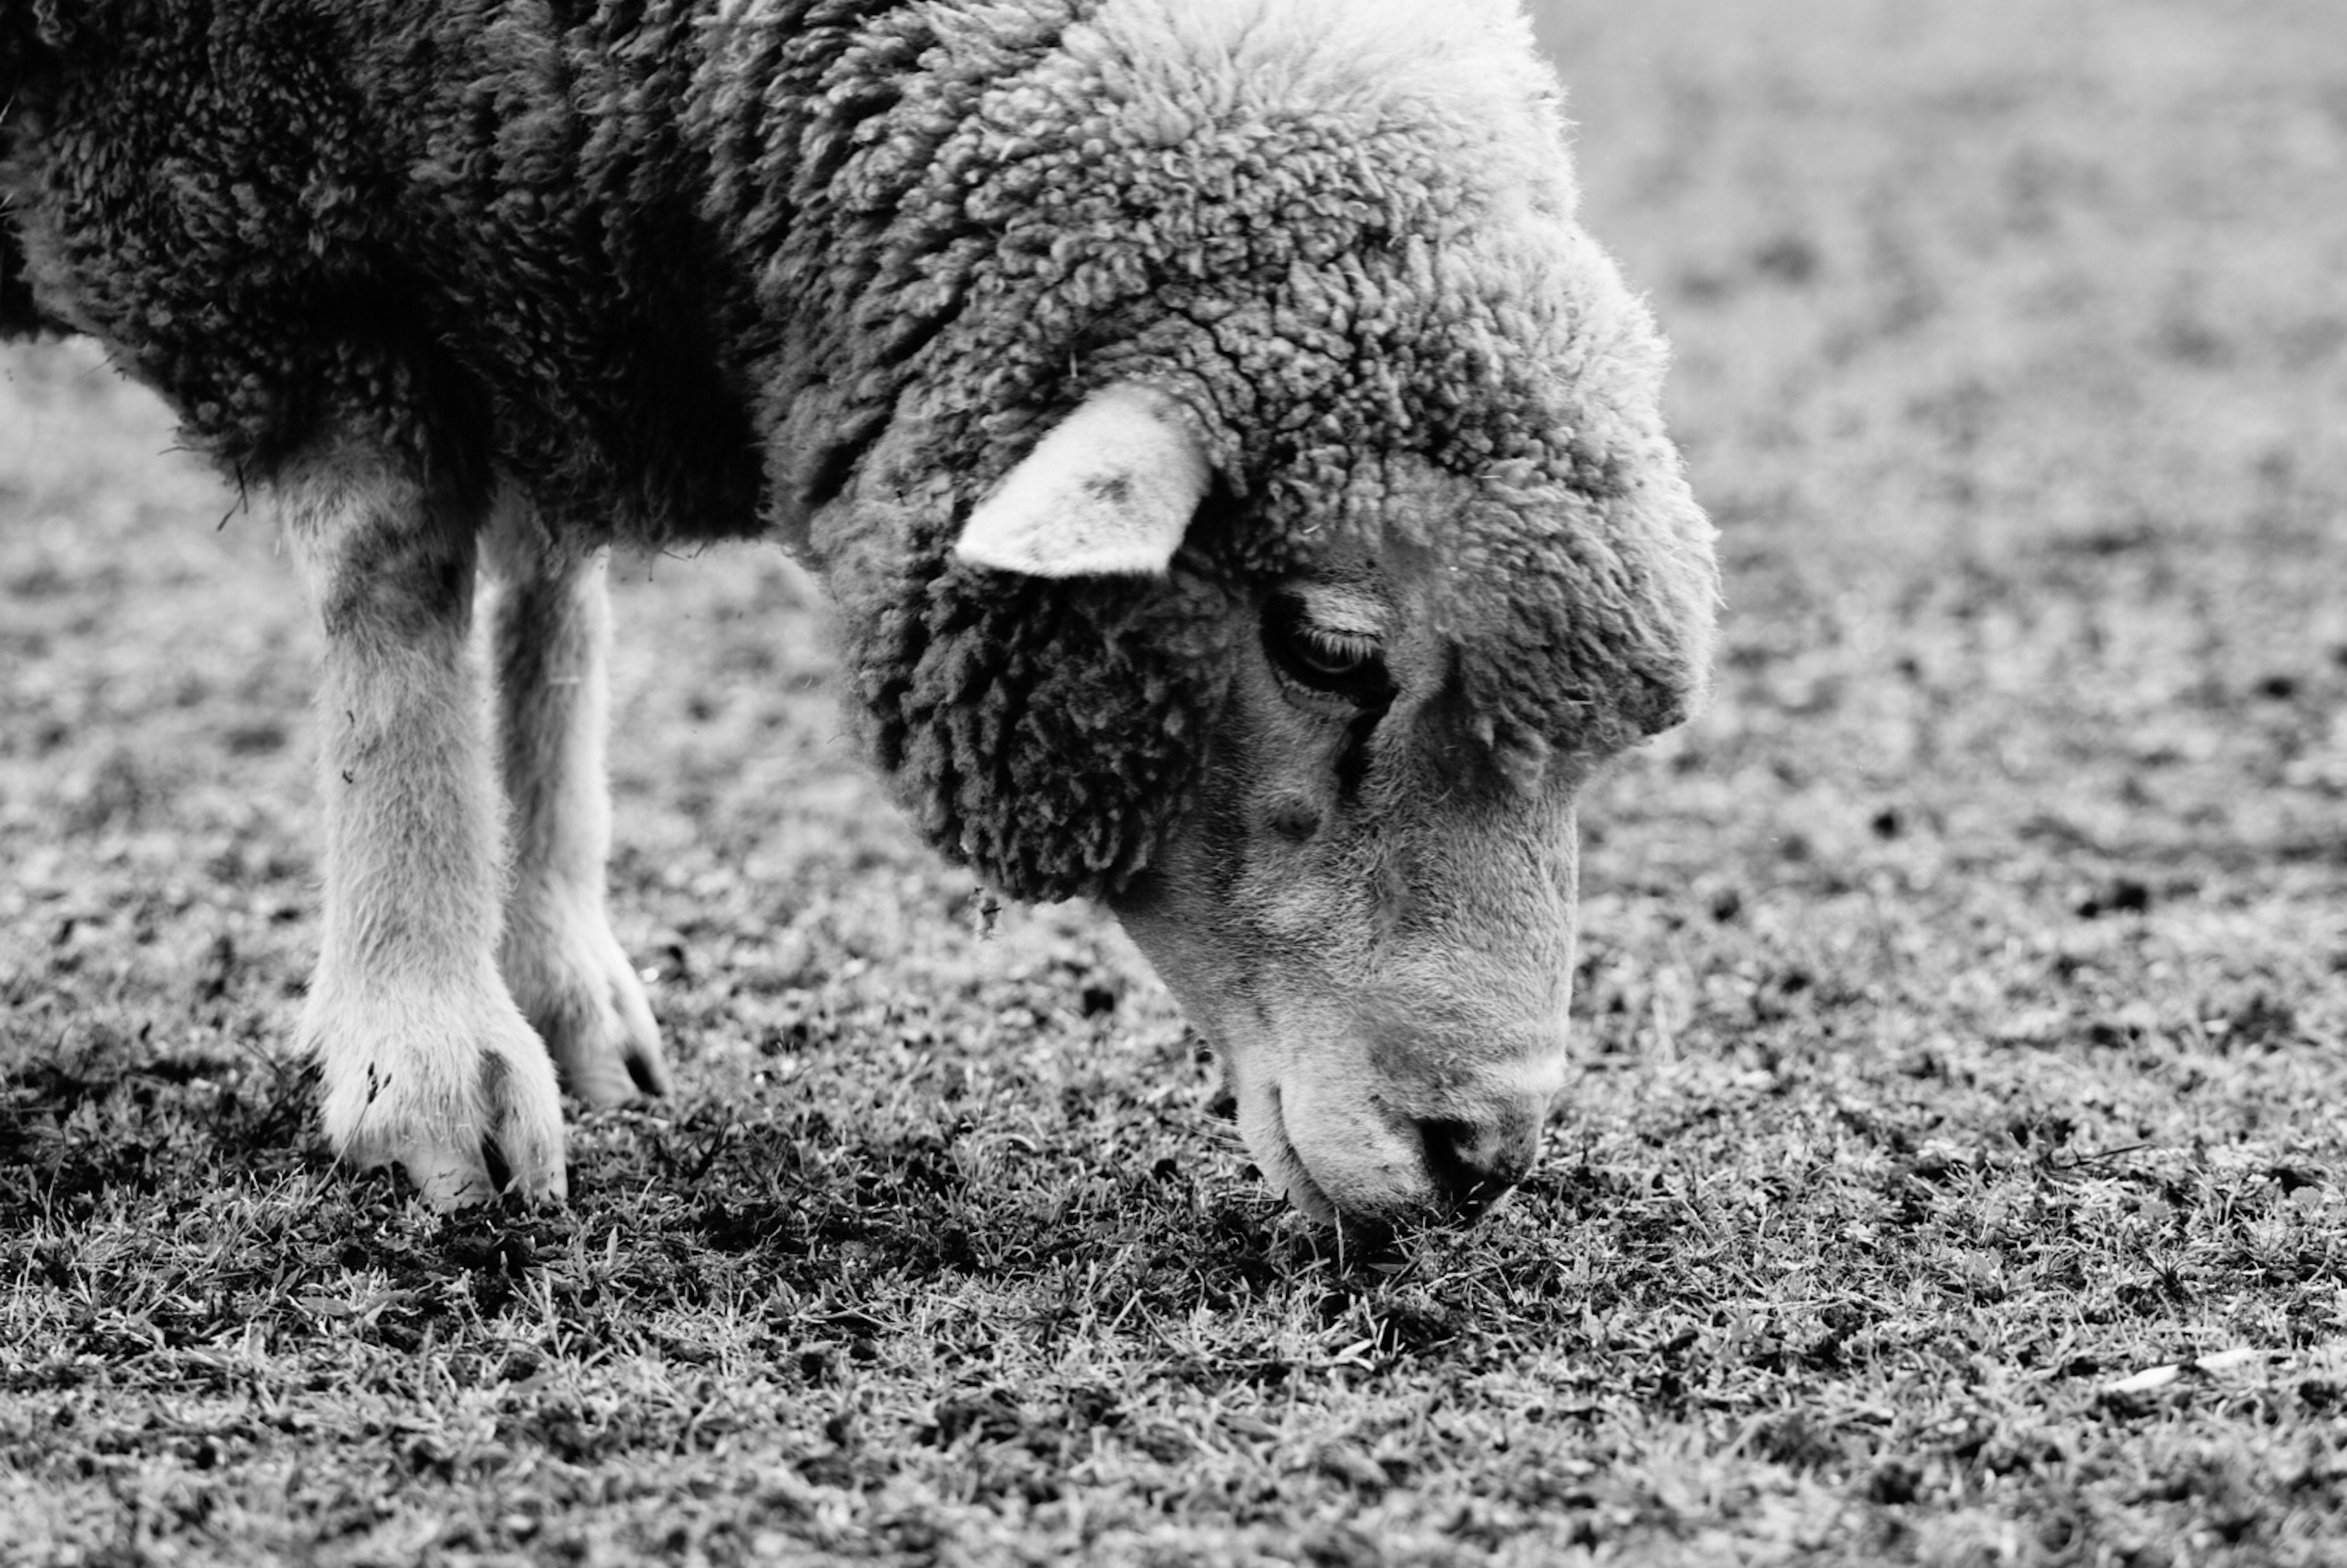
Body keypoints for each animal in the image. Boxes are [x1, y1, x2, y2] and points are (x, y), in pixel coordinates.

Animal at [4, 0, 1727, 1220]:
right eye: (1327, 645)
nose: (1481, 1153)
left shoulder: (532, 246)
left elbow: (552, 607)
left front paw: (557, 974)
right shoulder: (267, 221)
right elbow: (398, 578)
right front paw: (427, 1051)